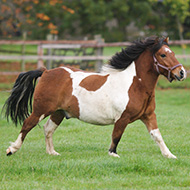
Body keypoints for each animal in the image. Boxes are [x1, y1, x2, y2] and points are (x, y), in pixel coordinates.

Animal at [2, 36, 186, 158]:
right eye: (163, 55)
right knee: (27, 124)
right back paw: (12, 149)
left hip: (58, 112)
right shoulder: (122, 118)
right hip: (41, 109)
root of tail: (46, 71)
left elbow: (157, 135)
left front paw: (170, 155)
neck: (135, 84)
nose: (182, 72)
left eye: (173, 53)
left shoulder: (148, 116)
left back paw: (52, 152)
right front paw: (113, 155)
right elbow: (116, 136)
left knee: (48, 129)